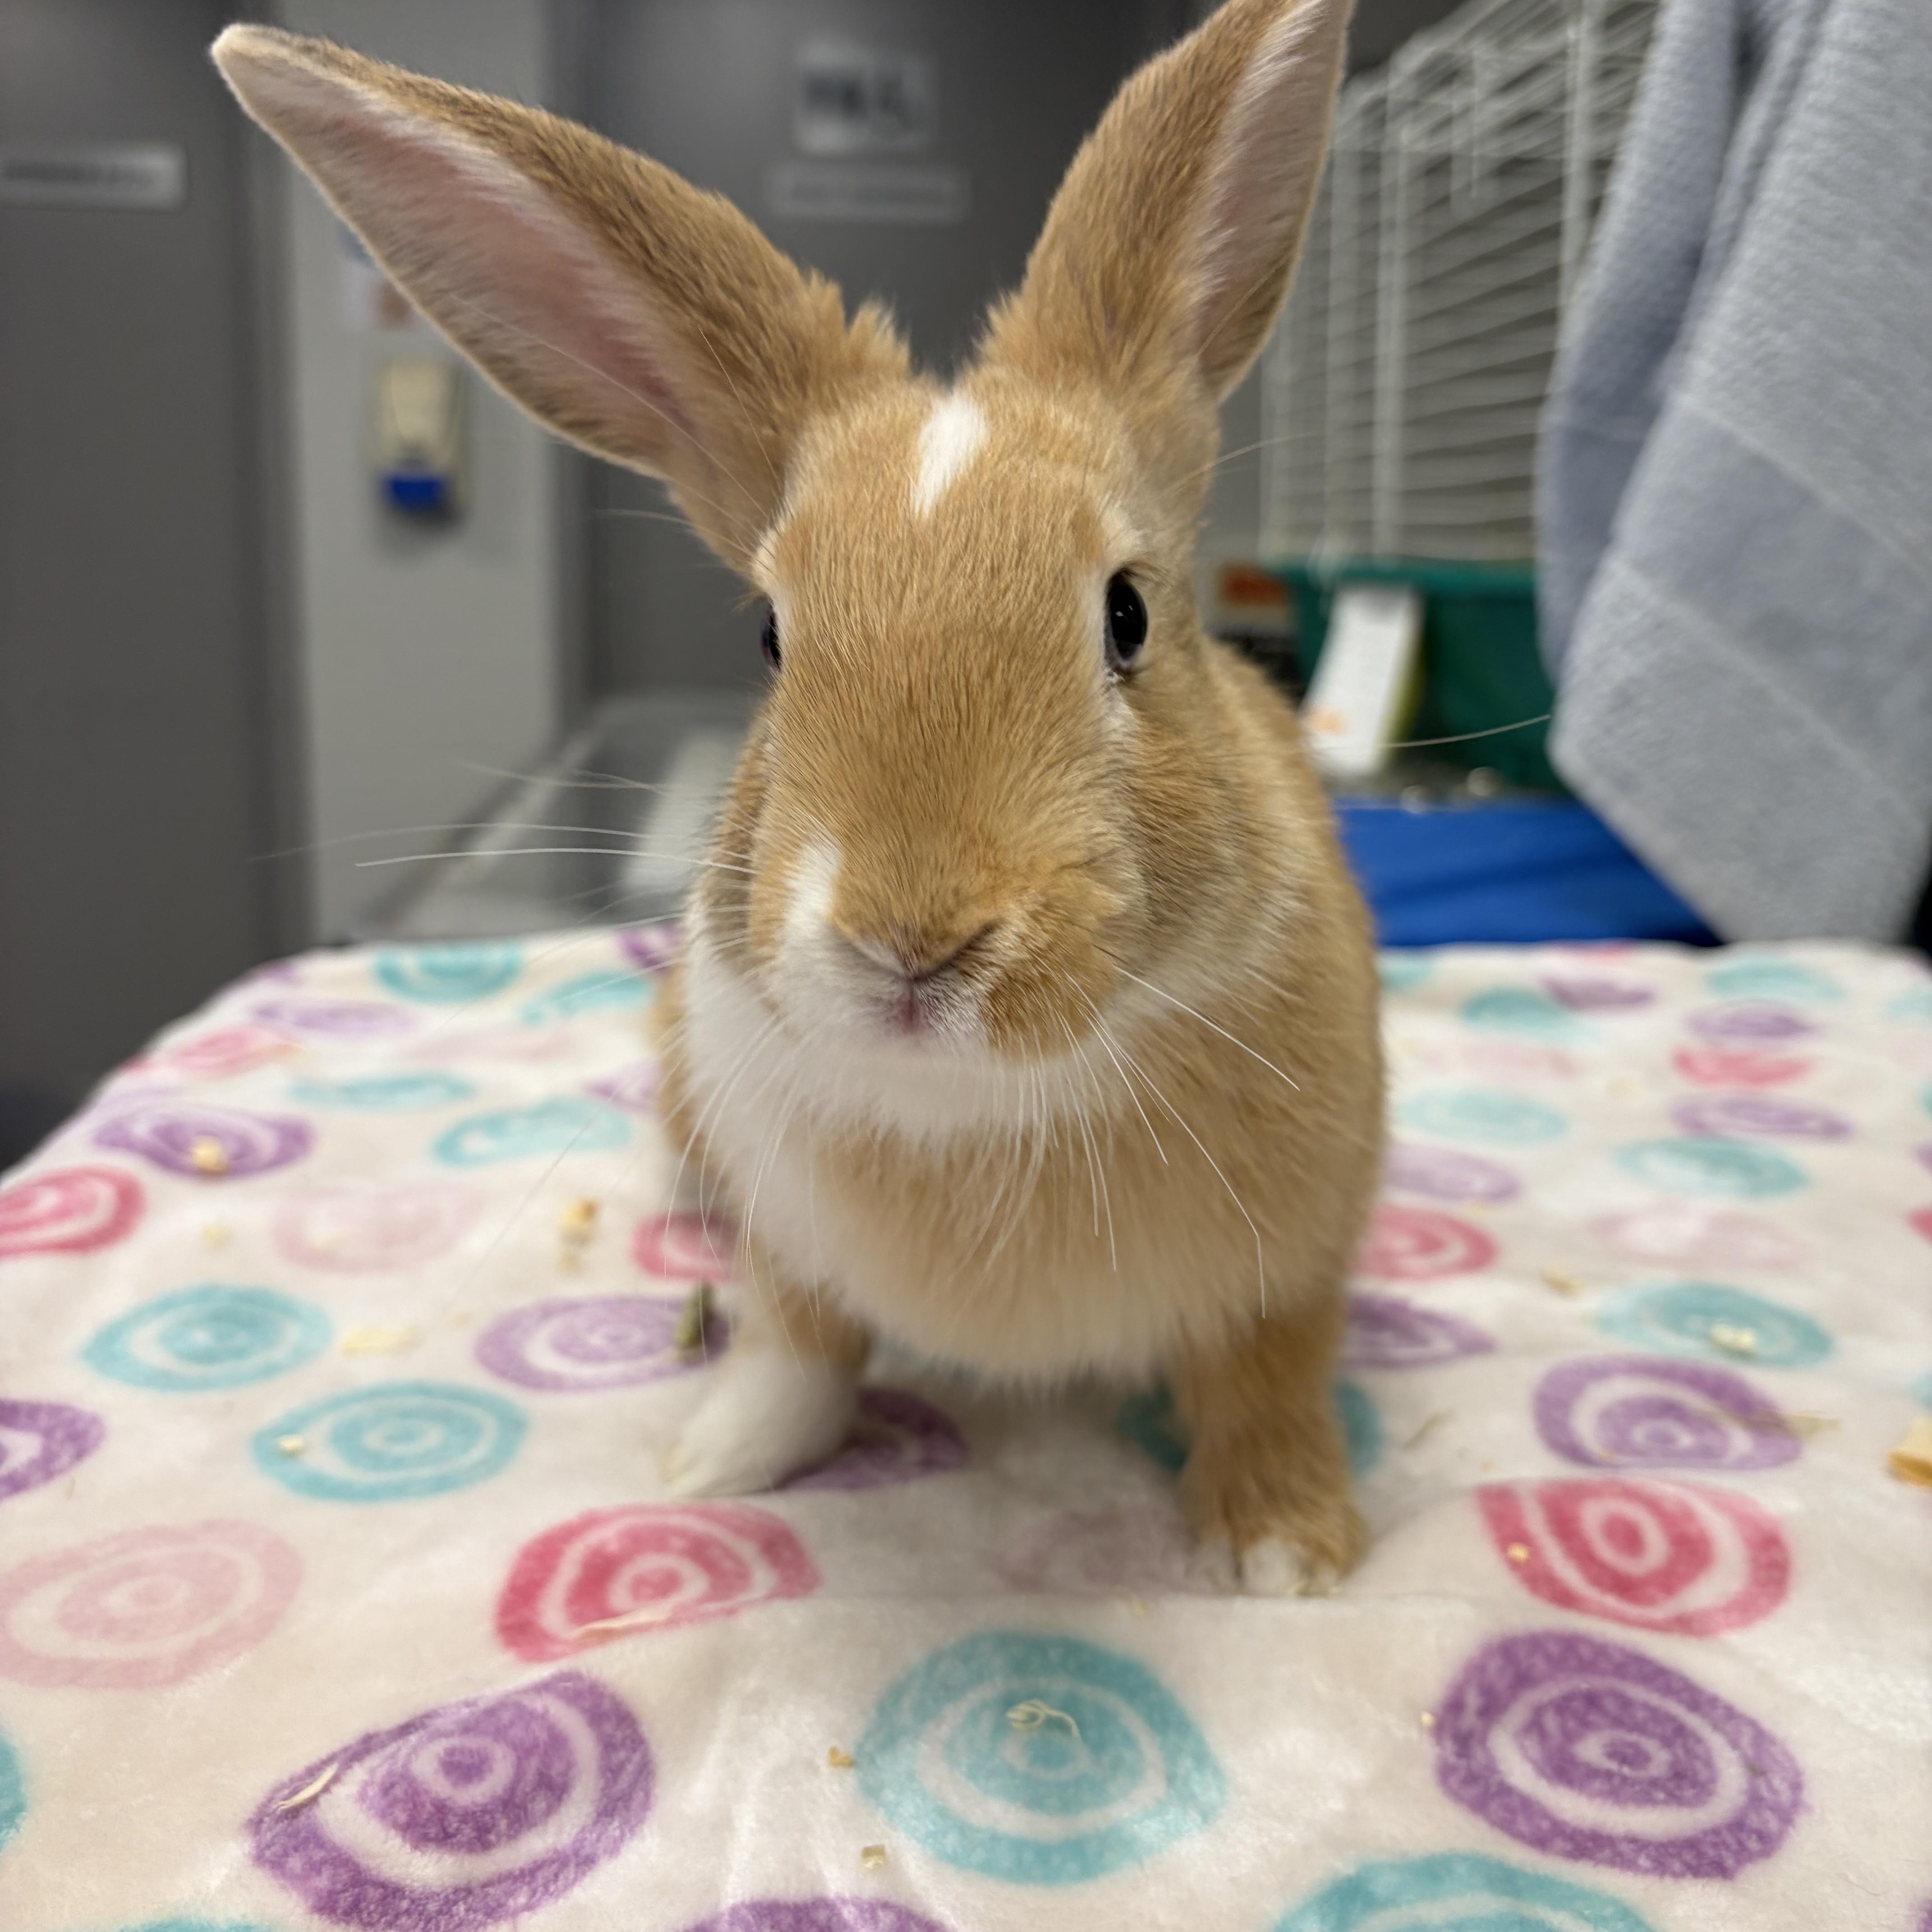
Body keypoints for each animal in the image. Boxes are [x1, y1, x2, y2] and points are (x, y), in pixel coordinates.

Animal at [214, 0, 1384, 1594]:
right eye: (771, 637)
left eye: (1129, 615)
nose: (914, 942)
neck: (988, 1101)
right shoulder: (785, 1240)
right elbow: (799, 1352)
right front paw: (716, 1461)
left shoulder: (1298, 1263)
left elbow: (1269, 1379)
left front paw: (1286, 1553)